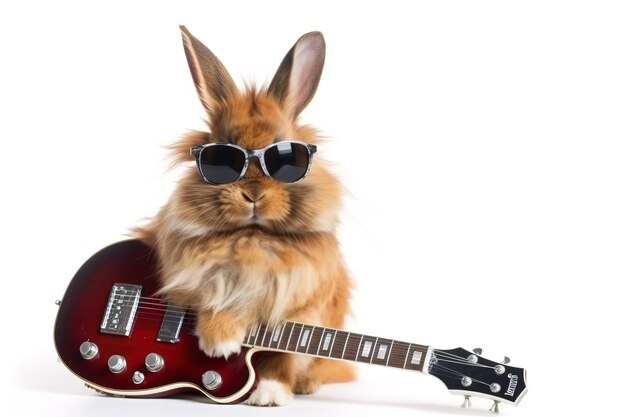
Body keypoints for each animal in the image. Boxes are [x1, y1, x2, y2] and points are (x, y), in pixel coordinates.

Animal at [133, 24, 352, 404]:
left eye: (287, 158)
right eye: (220, 157)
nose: (253, 195)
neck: (253, 239)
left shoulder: (301, 312)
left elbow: (281, 358)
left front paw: (270, 395)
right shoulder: (203, 280)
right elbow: (215, 304)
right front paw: (218, 342)